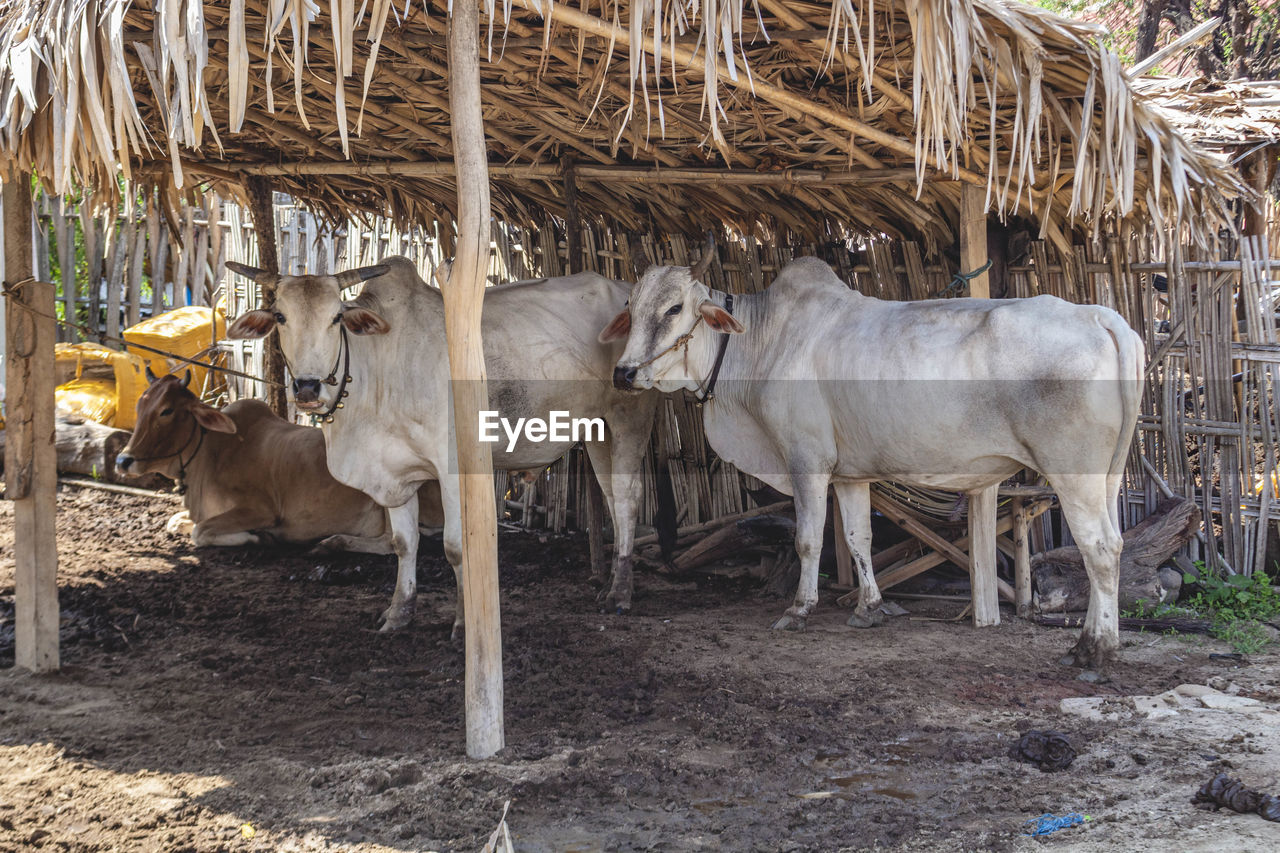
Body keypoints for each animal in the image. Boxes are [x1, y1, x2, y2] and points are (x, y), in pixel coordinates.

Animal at [227, 256, 670, 635]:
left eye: (337, 317)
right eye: (280, 317)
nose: (307, 388)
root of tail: (626, 290)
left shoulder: (453, 466)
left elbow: (457, 548)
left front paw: (463, 623)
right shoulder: (395, 474)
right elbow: (403, 543)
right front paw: (399, 612)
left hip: (628, 418)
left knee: (627, 498)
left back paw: (620, 592)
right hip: (597, 430)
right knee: (611, 496)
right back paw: (610, 581)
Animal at [604, 242, 1146, 666]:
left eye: (675, 308)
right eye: (631, 304)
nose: (624, 373)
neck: (761, 342)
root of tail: (1099, 314)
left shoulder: (806, 460)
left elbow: (807, 540)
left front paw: (799, 609)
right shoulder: (849, 474)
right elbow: (858, 537)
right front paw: (869, 607)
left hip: (1073, 472)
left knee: (1100, 549)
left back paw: (1094, 649)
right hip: (1107, 476)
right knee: (1113, 546)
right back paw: (1095, 640)